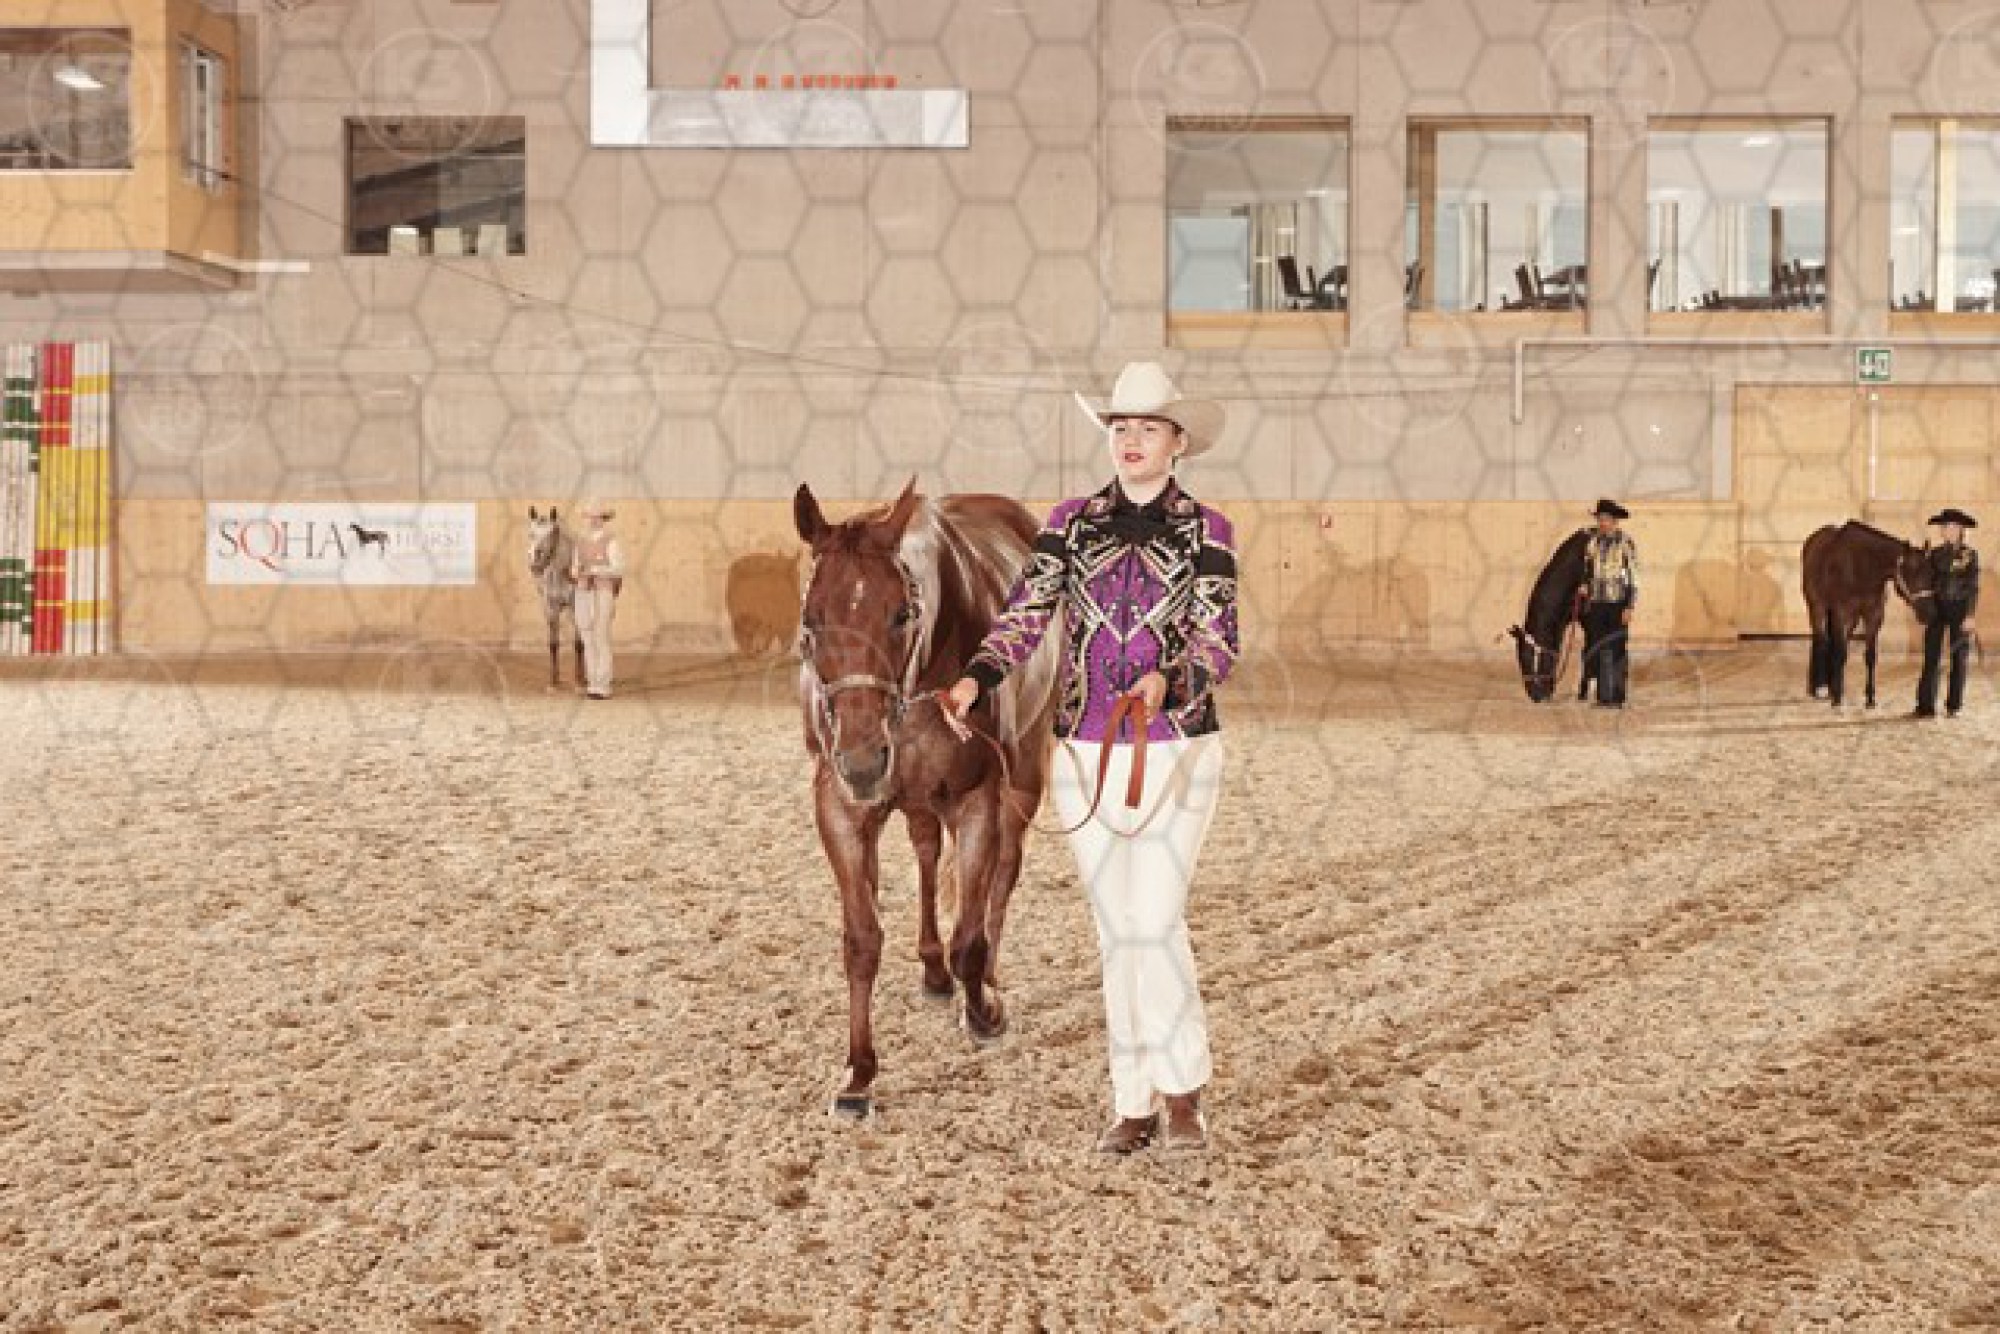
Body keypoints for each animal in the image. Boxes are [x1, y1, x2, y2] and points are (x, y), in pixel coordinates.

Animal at [526, 506, 584, 690]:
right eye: (530, 533)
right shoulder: (550, 608)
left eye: (552, 533)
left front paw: (579, 682)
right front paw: (553, 682)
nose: (535, 562)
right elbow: (553, 644)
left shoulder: (574, 608)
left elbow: (578, 644)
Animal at [794, 477, 1059, 1119]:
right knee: (924, 852)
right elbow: (862, 942)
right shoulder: (841, 808)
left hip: (1023, 778)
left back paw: (984, 980)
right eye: (811, 619)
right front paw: (858, 1075)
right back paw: (934, 970)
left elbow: (970, 935)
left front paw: (983, 1011)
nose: (863, 760)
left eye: (901, 613)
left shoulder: (978, 799)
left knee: (1002, 875)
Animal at [1802, 520, 1939, 708]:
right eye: (1913, 574)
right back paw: (1821, 688)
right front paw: (1837, 699)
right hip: (1817, 607)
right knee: (1822, 641)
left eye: (1932, 574)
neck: (1861, 567)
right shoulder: (1841, 614)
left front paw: (1870, 698)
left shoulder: (1874, 616)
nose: (1930, 613)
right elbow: (1840, 653)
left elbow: (1870, 657)